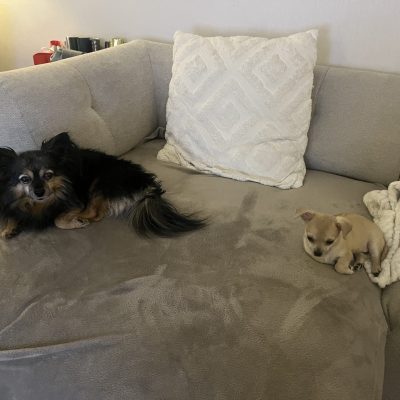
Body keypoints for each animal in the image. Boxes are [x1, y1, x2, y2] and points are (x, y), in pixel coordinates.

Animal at [0, 132, 205, 239]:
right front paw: (8, 229)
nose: (39, 191)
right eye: (24, 179)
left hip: (102, 182)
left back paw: (82, 218)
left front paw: (73, 222)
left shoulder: (73, 202)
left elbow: (58, 219)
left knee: (96, 213)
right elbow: (9, 218)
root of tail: (149, 185)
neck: (38, 204)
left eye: (48, 175)